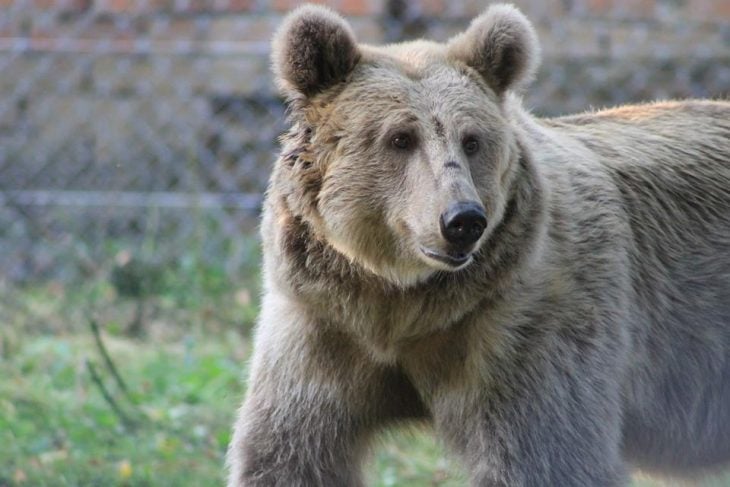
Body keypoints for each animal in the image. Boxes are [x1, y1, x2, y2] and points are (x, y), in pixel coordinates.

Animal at [226, 3, 728, 487]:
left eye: (472, 140)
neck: (401, 302)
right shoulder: (322, 325)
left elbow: (545, 455)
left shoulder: (526, 327)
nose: (462, 220)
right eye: (399, 138)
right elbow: (290, 455)